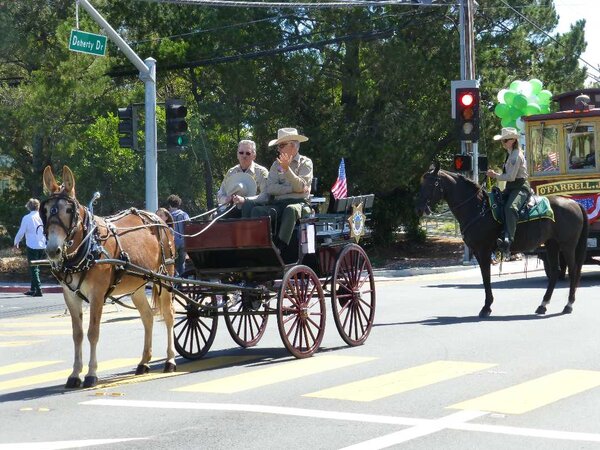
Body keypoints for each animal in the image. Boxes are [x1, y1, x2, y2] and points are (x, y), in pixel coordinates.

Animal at [414, 163, 588, 318]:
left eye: (431, 183)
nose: (419, 208)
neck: (478, 208)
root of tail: (575, 203)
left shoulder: (484, 251)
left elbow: (486, 277)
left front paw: (486, 307)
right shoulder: (477, 252)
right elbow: (485, 277)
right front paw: (487, 305)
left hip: (568, 246)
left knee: (573, 270)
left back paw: (568, 305)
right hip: (552, 245)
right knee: (555, 272)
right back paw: (543, 305)